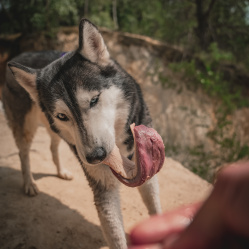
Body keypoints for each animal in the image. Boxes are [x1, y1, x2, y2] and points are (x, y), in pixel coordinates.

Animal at [2, 19, 161, 249]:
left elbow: (156, 211)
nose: (95, 157)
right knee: (24, 153)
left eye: (94, 100)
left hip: (55, 131)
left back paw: (61, 172)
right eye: (62, 115)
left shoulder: (149, 177)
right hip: (27, 128)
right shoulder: (104, 190)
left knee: (52, 147)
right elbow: (117, 238)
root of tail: (18, 55)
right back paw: (29, 183)